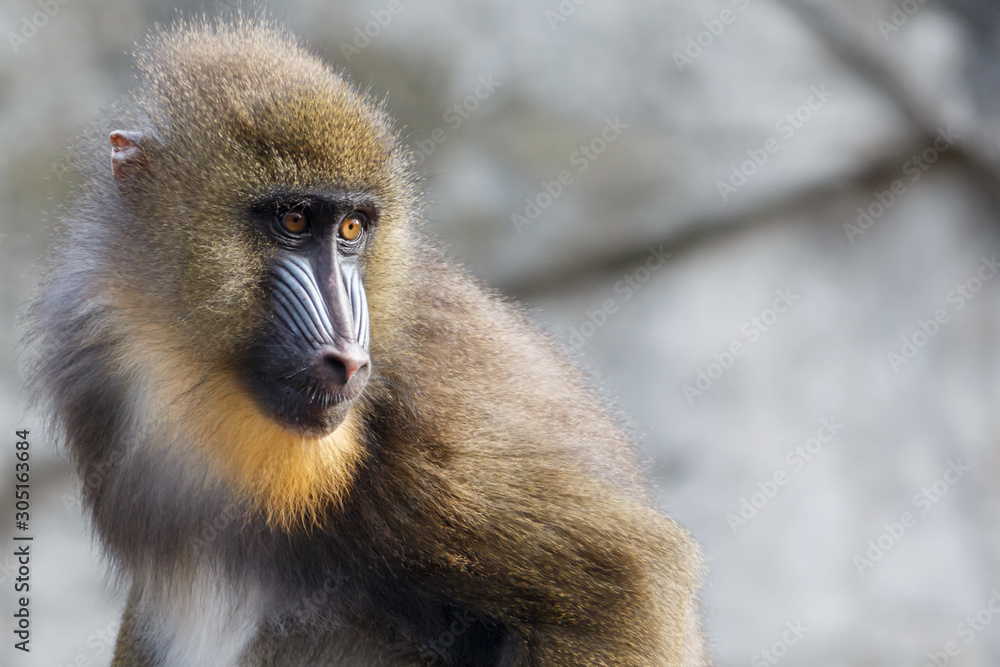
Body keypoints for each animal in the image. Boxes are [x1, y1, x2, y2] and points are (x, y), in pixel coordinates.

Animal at [26, 18, 710, 667]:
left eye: (352, 229)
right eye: (294, 219)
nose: (350, 359)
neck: (197, 379)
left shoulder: (433, 424)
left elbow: (625, 576)